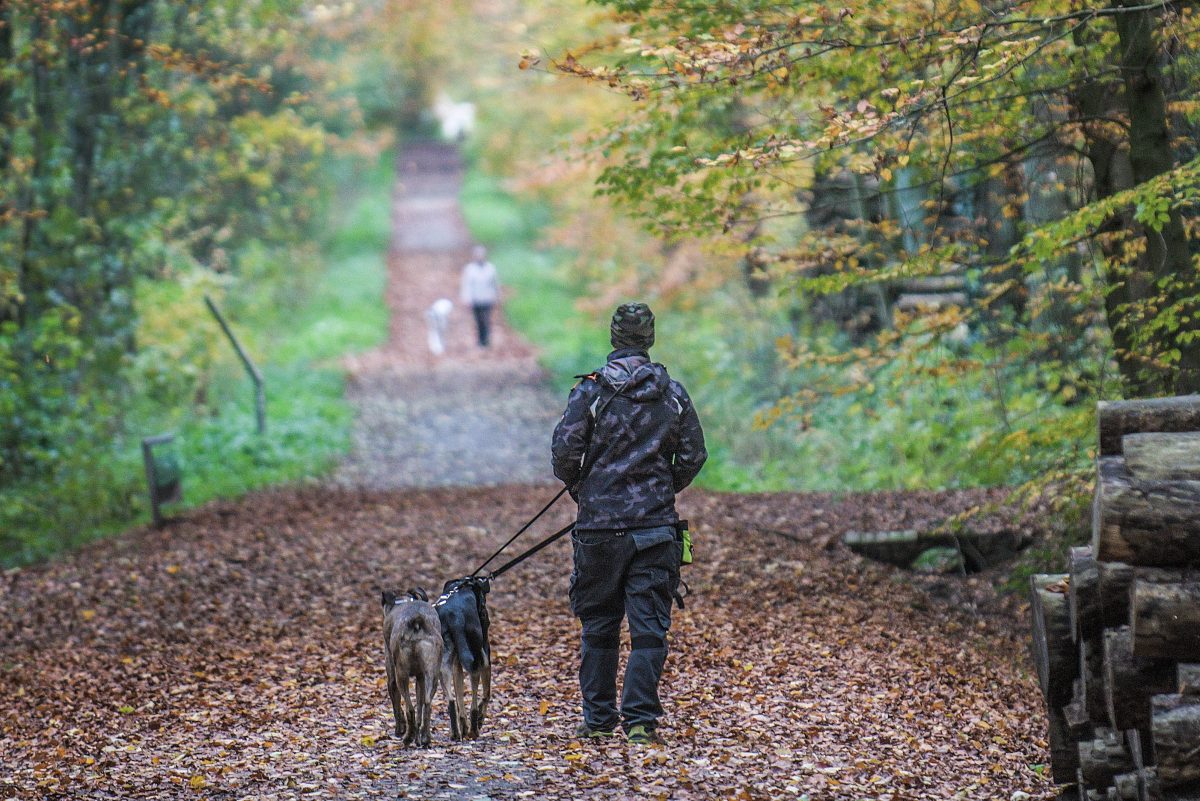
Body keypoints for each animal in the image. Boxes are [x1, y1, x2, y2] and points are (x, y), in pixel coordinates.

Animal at [381, 585, 444, 748]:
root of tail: (417, 620)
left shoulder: (392, 679)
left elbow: (397, 707)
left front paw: (400, 729)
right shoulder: (420, 678)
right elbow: (420, 705)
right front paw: (418, 737)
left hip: (401, 675)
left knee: (409, 708)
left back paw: (408, 737)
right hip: (432, 676)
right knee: (427, 704)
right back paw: (425, 738)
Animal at [434, 575, 489, 738]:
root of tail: (454, 616)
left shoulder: (456, 665)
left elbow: (459, 695)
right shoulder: (486, 653)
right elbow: (486, 693)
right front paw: (480, 718)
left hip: (444, 666)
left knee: (452, 701)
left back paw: (456, 732)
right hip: (477, 659)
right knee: (474, 700)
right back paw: (474, 729)